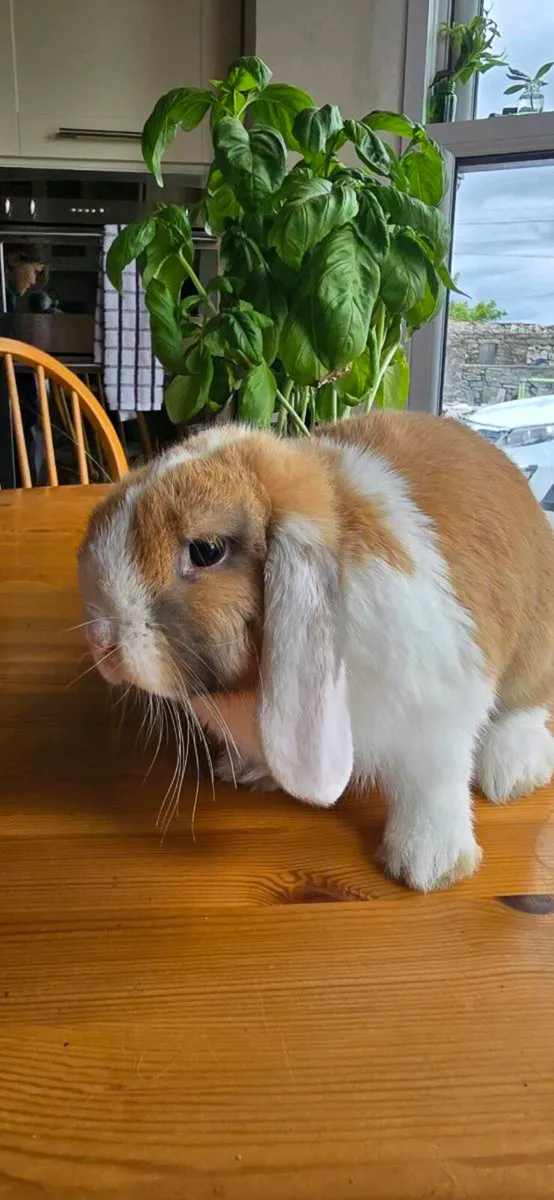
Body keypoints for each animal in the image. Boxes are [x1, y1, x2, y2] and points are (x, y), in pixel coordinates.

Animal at [78, 412, 554, 891]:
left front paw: (428, 866)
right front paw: (247, 769)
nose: (101, 640)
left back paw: (511, 772)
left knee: (525, 707)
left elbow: (431, 785)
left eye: (206, 550)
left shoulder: (437, 718)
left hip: (534, 647)